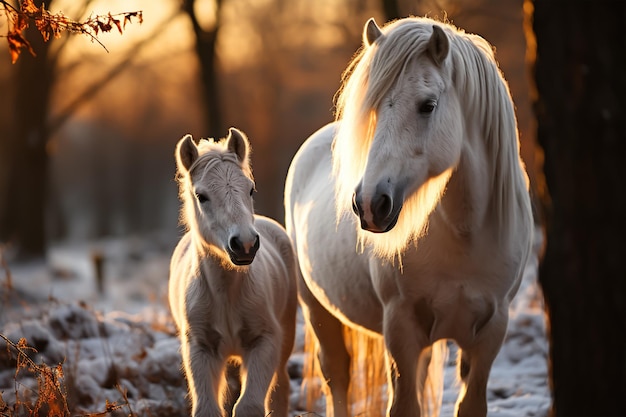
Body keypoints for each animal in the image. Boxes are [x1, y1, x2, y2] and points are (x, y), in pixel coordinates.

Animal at [169, 127, 296, 416]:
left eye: (251, 189)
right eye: (201, 196)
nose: (245, 244)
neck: (226, 294)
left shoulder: (265, 342)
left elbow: (248, 405)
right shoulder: (200, 348)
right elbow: (208, 408)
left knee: (281, 388)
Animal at [284, 17, 532, 416]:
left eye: (427, 106)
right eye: (374, 110)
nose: (369, 203)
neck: (465, 235)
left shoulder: (491, 330)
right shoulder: (401, 326)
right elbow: (403, 405)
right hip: (317, 308)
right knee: (337, 375)